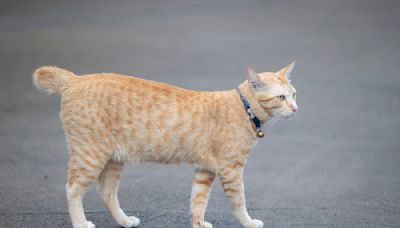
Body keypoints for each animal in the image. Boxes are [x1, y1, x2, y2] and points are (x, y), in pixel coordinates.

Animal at [32, 62, 296, 228]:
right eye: (281, 97)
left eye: (294, 94)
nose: (295, 109)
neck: (244, 107)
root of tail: (75, 79)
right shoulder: (231, 170)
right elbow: (239, 202)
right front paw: (249, 222)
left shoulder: (205, 170)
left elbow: (198, 201)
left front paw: (198, 224)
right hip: (89, 155)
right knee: (72, 189)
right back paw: (80, 223)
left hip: (113, 159)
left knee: (106, 191)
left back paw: (124, 221)